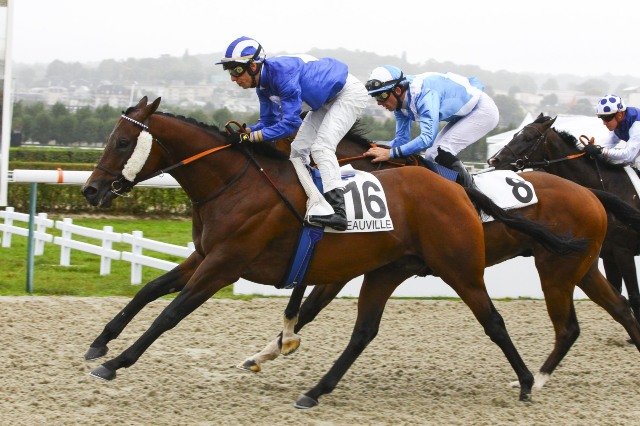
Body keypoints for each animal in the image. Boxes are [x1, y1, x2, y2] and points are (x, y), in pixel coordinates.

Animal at [80, 96, 600, 407]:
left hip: (468, 268)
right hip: (388, 271)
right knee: (364, 331)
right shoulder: (205, 257)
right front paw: (100, 342)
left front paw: (115, 363)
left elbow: (172, 313)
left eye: (122, 142)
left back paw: (529, 381)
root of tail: (456, 190)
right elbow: (150, 289)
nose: (90, 190)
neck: (236, 183)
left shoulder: (225, 265)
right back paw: (315, 390)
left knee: (497, 321)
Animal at [488, 113, 640, 326]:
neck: (607, 184)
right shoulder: (609, 254)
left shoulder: (623, 251)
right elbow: (617, 293)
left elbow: (634, 296)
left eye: (528, 137)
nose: (495, 160)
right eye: (516, 134)